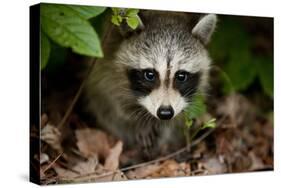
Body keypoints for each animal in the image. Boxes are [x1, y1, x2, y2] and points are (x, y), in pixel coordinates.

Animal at [81, 11, 217, 159]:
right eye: (150, 75)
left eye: (181, 76)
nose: (165, 113)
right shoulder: (109, 68)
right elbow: (117, 101)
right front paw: (141, 124)